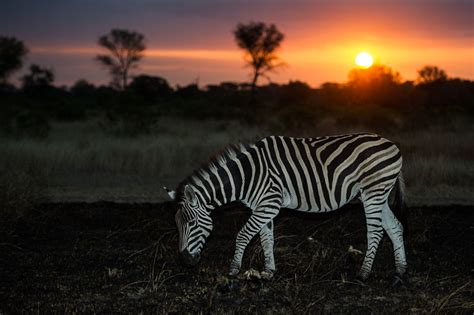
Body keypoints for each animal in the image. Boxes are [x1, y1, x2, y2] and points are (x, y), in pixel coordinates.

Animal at [165, 133, 406, 284]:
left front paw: (234, 269)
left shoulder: (269, 204)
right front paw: (268, 272)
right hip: (378, 194)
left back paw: (364, 274)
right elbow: (266, 240)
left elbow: (243, 235)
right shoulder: (264, 207)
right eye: (177, 225)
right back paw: (400, 271)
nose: (185, 261)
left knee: (376, 232)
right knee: (395, 227)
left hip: (373, 192)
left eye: (192, 223)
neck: (247, 176)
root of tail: (393, 145)